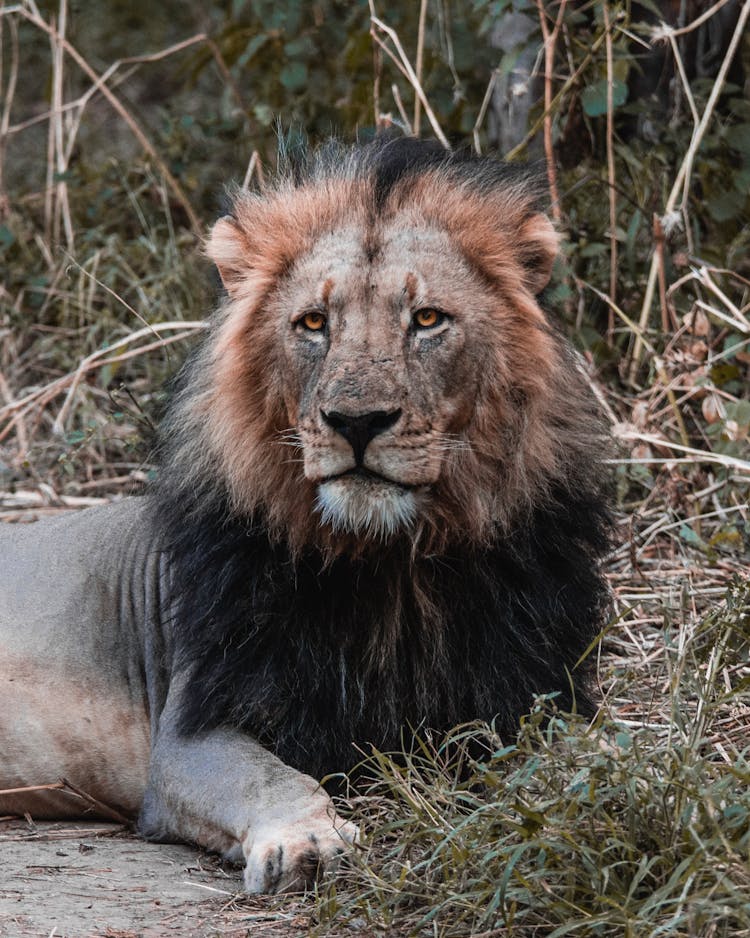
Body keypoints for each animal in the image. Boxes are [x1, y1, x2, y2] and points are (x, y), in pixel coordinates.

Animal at [0, 137, 612, 892]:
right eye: (314, 324)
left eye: (427, 319)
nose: (357, 421)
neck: (391, 566)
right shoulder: (191, 731)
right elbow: (273, 778)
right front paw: (308, 842)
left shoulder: (532, 689)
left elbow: (568, 748)